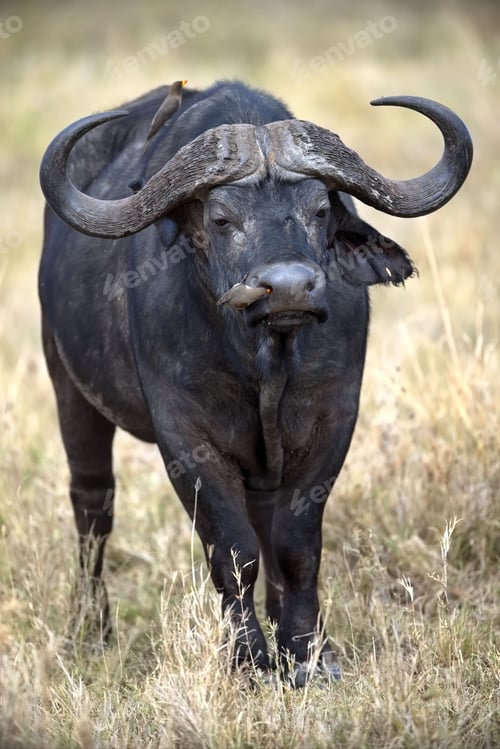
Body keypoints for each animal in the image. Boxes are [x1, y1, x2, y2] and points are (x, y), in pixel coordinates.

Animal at [39, 80, 472, 684]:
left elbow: (295, 545)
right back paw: (91, 629)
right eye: (221, 219)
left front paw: (307, 654)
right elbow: (233, 550)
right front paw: (249, 661)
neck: (265, 361)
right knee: (92, 505)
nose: (287, 288)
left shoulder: (333, 420)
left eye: (319, 210)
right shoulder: (187, 438)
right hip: (69, 390)